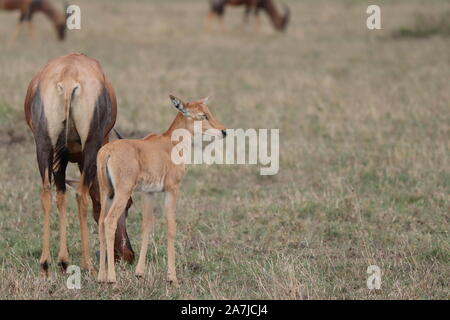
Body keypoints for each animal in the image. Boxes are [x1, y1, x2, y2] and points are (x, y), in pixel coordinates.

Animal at [25, 53, 134, 276]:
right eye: (128, 203)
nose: (128, 255)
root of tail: (68, 77)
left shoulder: (61, 158)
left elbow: (60, 197)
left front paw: (63, 261)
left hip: (43, 145)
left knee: (46, 193)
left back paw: (45, 264)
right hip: (91, 145)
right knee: (81, 195)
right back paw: (88, 265)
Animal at [96, 94, 227, 282]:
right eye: (203, 115)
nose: (224, 131)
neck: (170, 143)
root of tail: (108, 151)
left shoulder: (148, 193)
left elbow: (146, 225)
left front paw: (139, 272)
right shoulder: (172, 189)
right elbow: (171, 226)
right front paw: (172, 277)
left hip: (107, 192)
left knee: (100, 222)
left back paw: (101, 277)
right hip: (122, 193)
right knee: (110, 221)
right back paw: (111, 279)